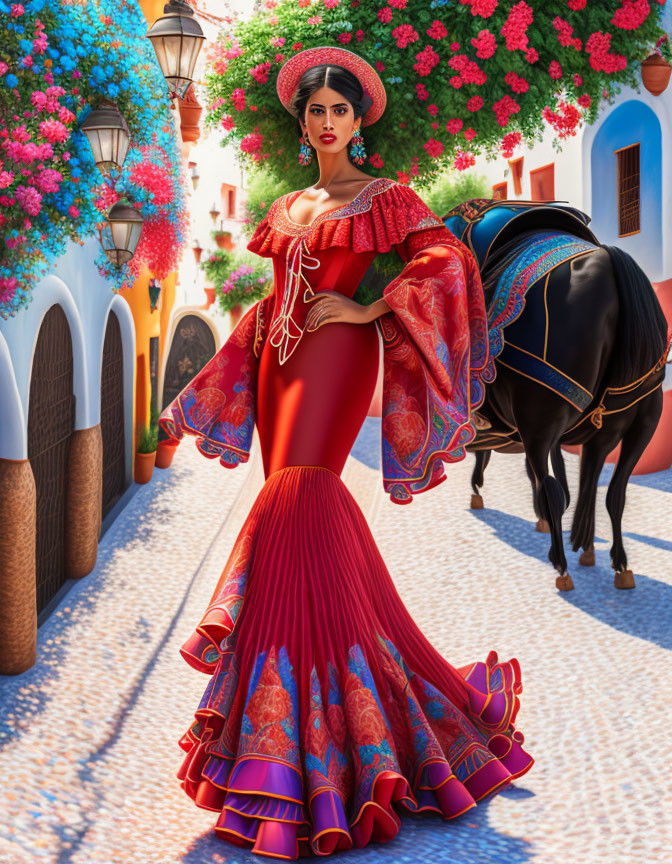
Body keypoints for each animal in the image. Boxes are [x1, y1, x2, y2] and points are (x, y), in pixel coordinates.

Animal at [460, 216, 668, 592]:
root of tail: (607, 259)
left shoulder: (539, 426)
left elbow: (550, 481)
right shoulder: (598, 432)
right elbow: (587, 484)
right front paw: (587, 547)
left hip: (544, 423)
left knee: (555, 491)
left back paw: (561, 565)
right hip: (637, 422)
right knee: (613, 491)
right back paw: (617, 564)